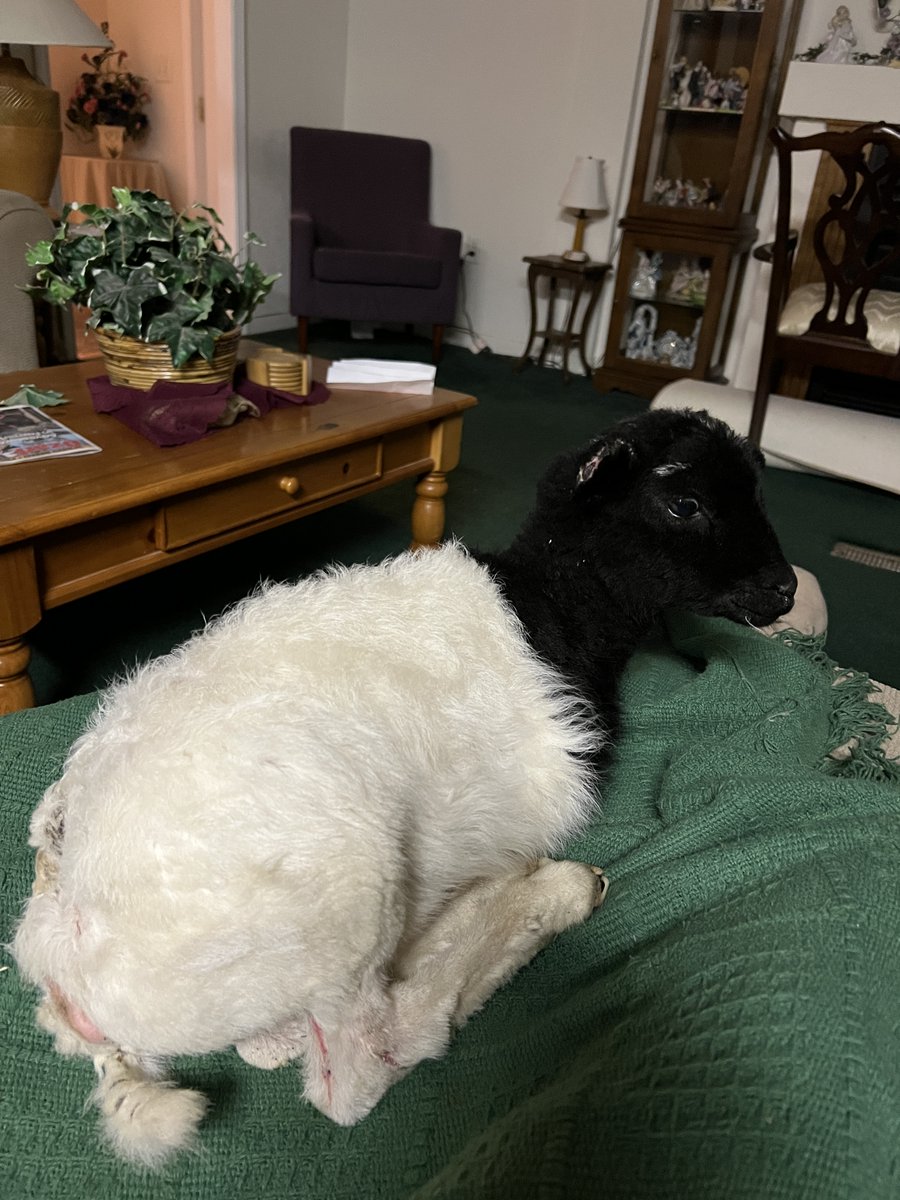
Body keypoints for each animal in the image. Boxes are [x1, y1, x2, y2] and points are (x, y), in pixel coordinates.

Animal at [11, 407, 796, 1167]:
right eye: (684, 502)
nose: (786, 588)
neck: (554, 609)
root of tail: (67, 949)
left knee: (269, 1045)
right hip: (349, 892)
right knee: (361, 1069)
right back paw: (541, 899)